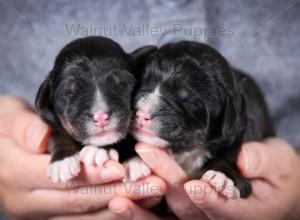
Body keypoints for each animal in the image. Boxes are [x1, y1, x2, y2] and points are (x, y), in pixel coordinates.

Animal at [34, 37, 136, 183]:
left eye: (122, 84)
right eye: (69, 93)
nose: (100, 116)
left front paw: (100, 151)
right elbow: (57, 134)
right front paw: (62, 160)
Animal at [130, 40, 276, 198]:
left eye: (186, 98)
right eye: (141, 84)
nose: (141, 113)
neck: (188, 153)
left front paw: (222, 176)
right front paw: (136, 162)